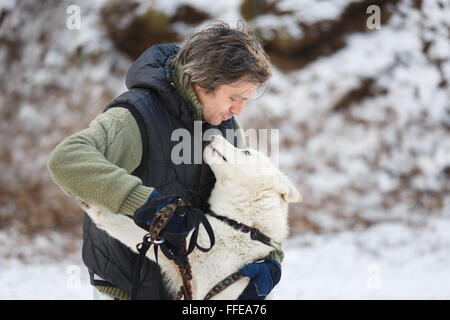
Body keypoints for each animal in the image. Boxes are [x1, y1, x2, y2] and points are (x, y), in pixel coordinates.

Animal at [81, 134, 300, 298]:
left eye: (246, 152)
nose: (213, 135)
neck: (241, 225)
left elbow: (126, 228)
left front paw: (97, 210)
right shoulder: (181, 261)